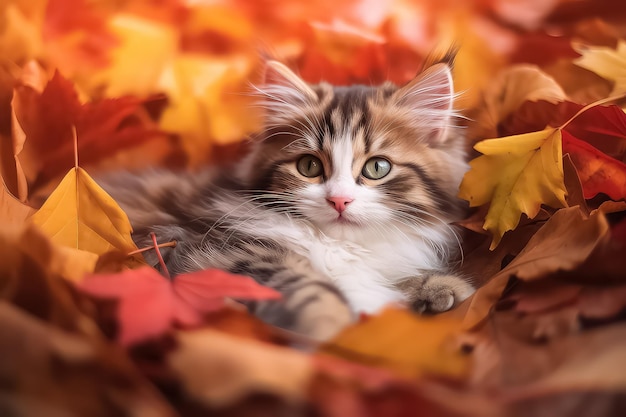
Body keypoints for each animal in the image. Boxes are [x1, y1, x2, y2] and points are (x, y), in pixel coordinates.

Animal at [102, 57, 472, 340]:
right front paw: (328, 324)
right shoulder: (218, 250)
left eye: (377, 167)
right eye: (309, 166)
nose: (339, 201)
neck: (339, 245)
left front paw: (442, 287)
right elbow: (311, 286)